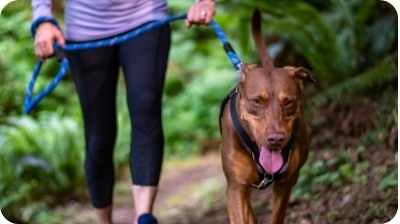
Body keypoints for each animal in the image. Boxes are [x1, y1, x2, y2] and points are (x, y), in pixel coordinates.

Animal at [219, 9, 316, 224]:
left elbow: (277, 215)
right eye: (257, 101)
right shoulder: (236, 187)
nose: (276, 139)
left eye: (288, 102)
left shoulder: (286, 182)